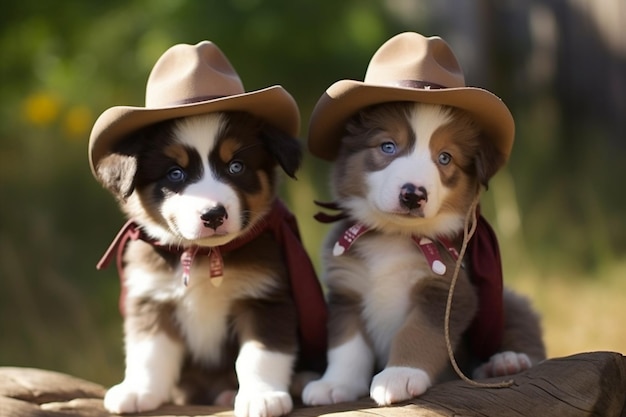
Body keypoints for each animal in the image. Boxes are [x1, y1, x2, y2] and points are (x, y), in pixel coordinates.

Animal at [94, 111, 304, 416]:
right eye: (175, 173)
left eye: (236, 166)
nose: (213, 215)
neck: (204, 255)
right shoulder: (152, 298)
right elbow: (149, 351)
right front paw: (138, 391)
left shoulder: (264, 298)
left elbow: (260, 354)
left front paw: (262, 396)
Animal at [302, 102, 540, 404]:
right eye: (388, 146)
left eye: (445, 157)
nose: (413, 194)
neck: (395, 237)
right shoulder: (346, 290)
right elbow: (347, 345)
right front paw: (335, 384)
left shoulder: (446, 291)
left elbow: (417, 332)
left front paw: (399, 375)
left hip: (505, 300)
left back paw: (506, 361)